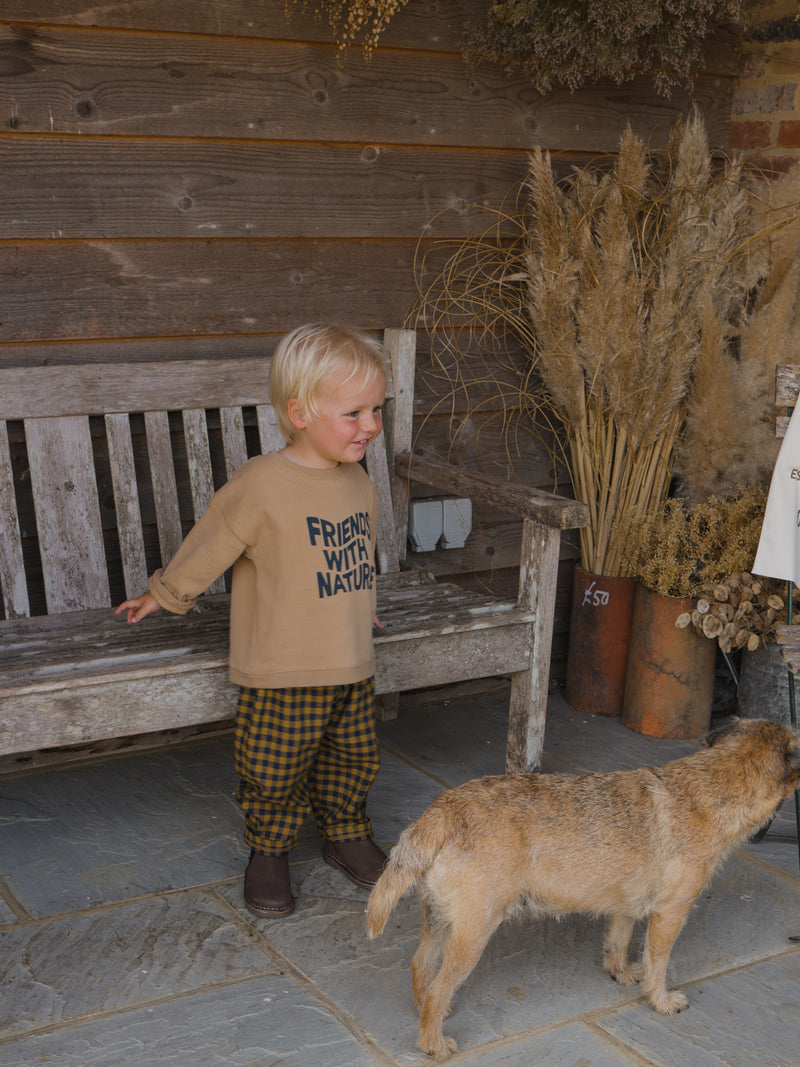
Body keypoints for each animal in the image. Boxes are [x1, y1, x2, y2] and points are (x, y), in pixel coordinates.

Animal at [366, 717, 800, 1058]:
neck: (713, 784)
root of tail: (442, 811)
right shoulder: (671, 912)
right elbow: (657, 962)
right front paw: (659, 1000)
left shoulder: (625, 904)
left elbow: (619, 939)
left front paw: (620, 972)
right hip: (472, 934)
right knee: (440, 985)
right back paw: (434, 1043)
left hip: (440, 919)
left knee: (422, 966)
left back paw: (429, 1017)